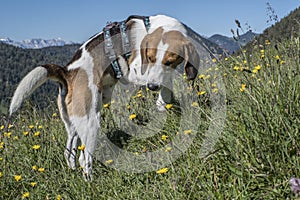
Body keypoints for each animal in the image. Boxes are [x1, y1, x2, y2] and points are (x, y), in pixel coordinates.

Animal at [8, 14, 216, 180]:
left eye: (170, 61)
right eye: (149, 58)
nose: (152, 87)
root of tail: (67, 72)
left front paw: (163, 104)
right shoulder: (135, 70)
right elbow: (165, 82)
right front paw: (162, 100)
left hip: (74, 124)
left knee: (70, 152)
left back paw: (73, 171)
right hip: (91, 122)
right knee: (85, 158)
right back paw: (90, 182)